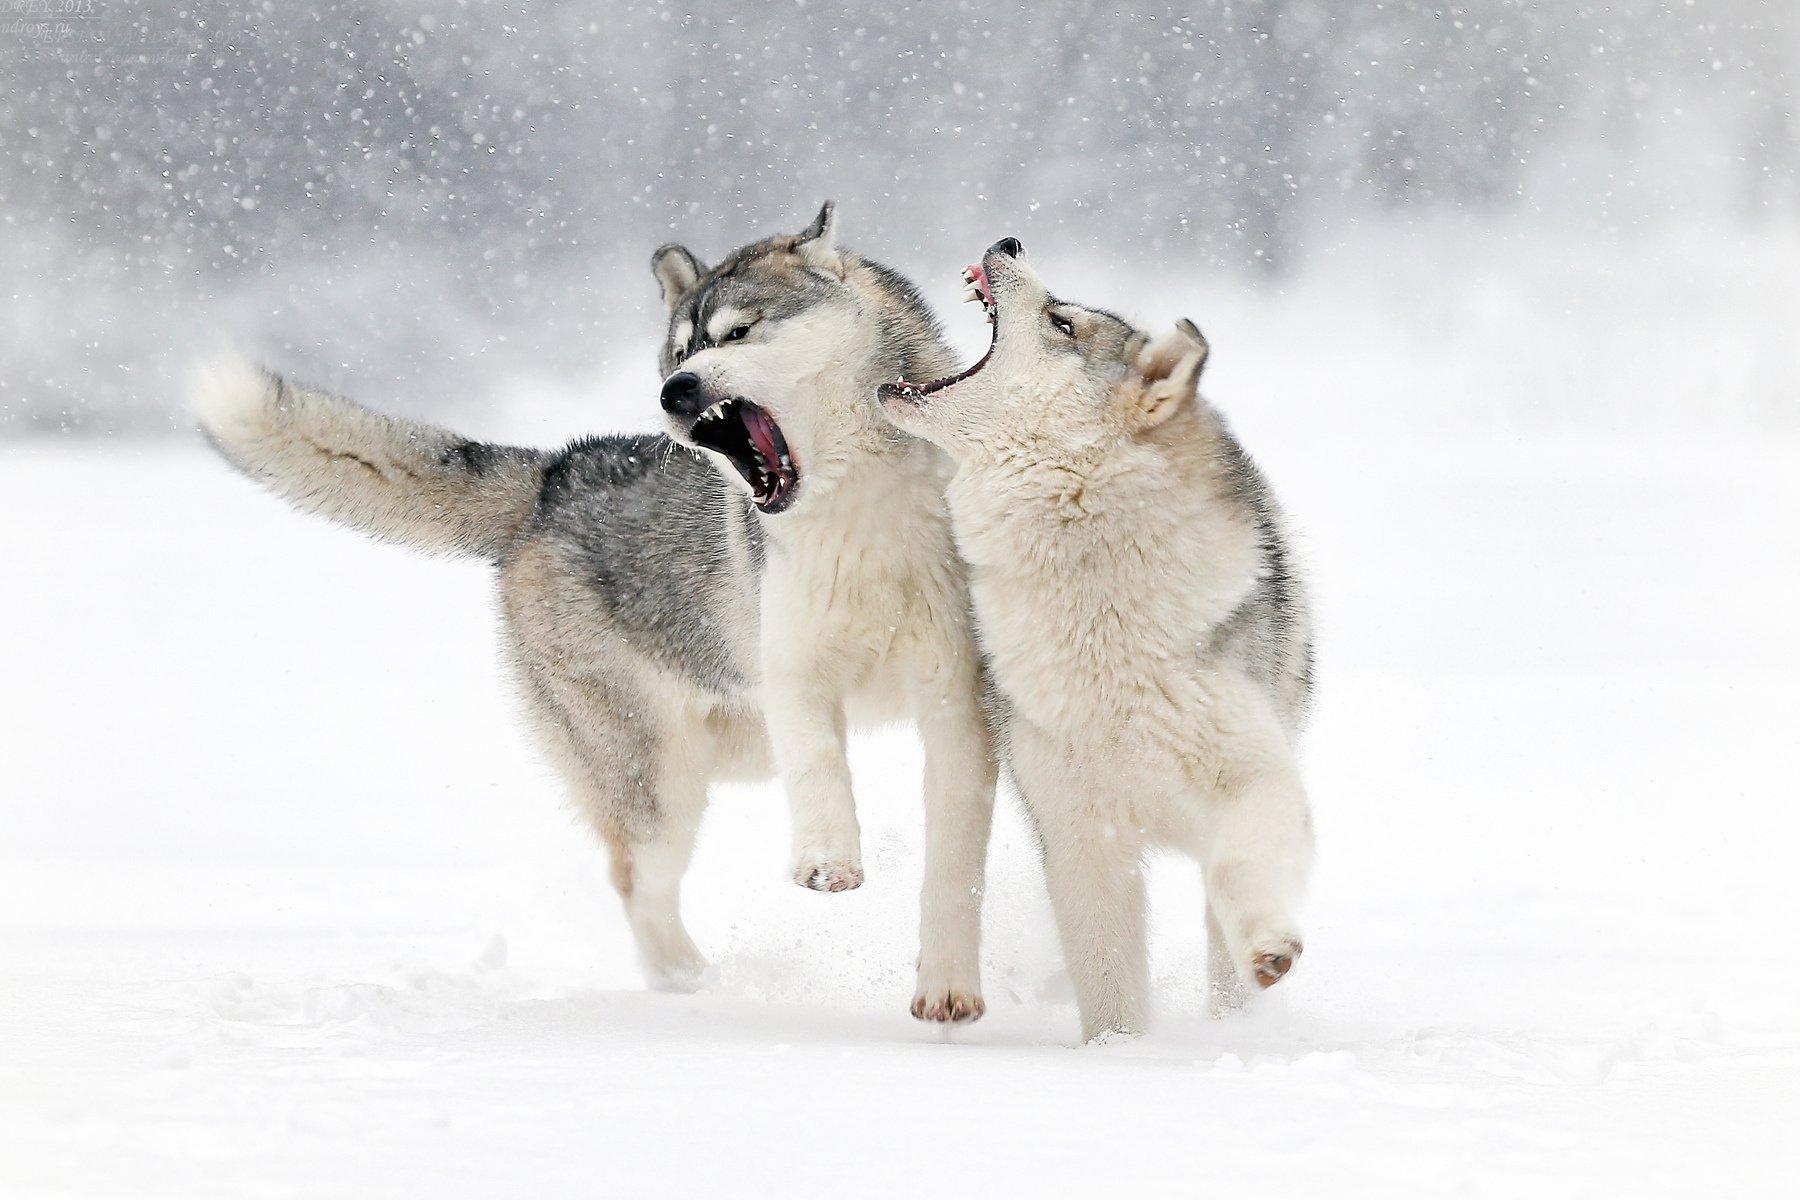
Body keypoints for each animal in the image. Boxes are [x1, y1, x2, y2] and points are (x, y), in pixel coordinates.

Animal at [192, 204, 996, 1022]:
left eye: (738, 333)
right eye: (681, 351)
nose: (676, 391)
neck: (861, 513)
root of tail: (552, 474)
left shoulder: (957, 701)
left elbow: (954, 865)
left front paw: (947, 985)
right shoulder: (795, 673)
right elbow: (819, 767)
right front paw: (828, 860)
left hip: (725, 748)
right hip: (657, 774)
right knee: (639, 883)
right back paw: (695, 986)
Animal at [878, 237, 1315, 1042]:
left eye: (1062, 322)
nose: (1008, 243)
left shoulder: (1256, 777)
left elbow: (1241, 865)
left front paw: (1269, 949)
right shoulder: (1081, 836)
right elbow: (1108, 978)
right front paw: (1118, 1055)